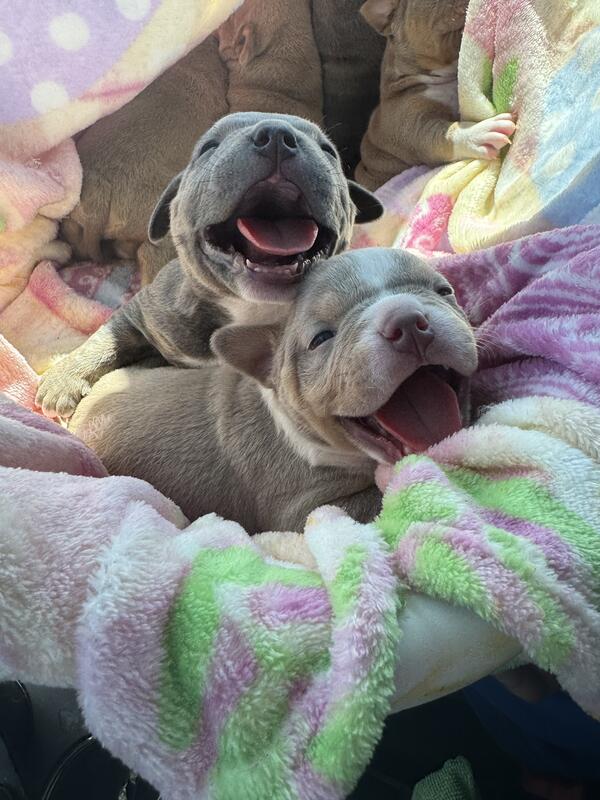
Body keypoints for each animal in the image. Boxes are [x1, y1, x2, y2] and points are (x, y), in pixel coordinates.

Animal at [36, 112, 383, 419]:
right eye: (208, 147)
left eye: (328, 151)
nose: (276, 134)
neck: (252, 308)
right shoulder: (146, 313)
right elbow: (106, 338)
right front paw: (64, 377)